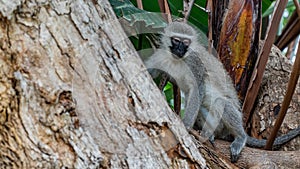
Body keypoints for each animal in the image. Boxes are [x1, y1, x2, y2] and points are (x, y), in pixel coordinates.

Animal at [144, 21, 298, 162]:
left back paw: (240, 137)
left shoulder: (195, 62)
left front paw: (186, 124)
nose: (180, 49)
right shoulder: (161, 56)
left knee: (220, 102)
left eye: (186, 42)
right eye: (176, 40)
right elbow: (149, 71)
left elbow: (198, 88)